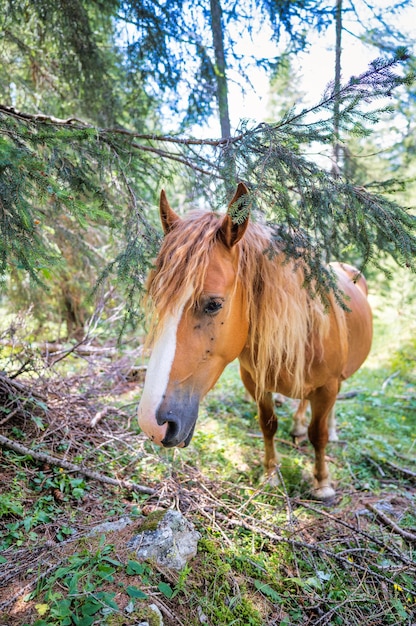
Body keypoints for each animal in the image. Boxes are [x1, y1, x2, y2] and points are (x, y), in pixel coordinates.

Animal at [137, 180, 374, 498]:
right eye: (156, 299)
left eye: (214, 304)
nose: (152, 423)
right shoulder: (255, 380)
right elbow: (268, 424)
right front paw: (270, 474)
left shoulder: (327, 387)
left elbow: (319, 435)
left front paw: (322, 482)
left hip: (337, 381)